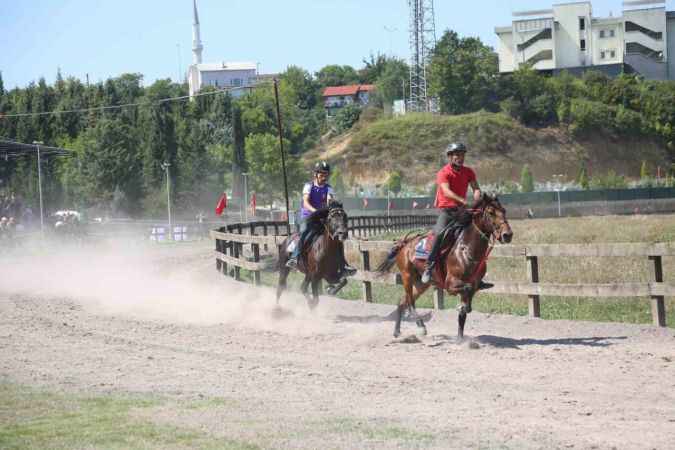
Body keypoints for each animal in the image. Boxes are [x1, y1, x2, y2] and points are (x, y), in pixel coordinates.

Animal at [374, 192, 512, 338]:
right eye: (491, 212)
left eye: (504, 211)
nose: (507, 235)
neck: (466, 249)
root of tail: (405, 244)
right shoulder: (451, 284)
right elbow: (467, 291)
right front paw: (464, 307)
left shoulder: (474, 284)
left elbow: (465, 309)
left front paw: (460, 337)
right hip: (407, 276)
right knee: (410, 302)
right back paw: (421, 325)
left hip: (421, 284)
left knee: (402, 302)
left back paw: (396, 331)